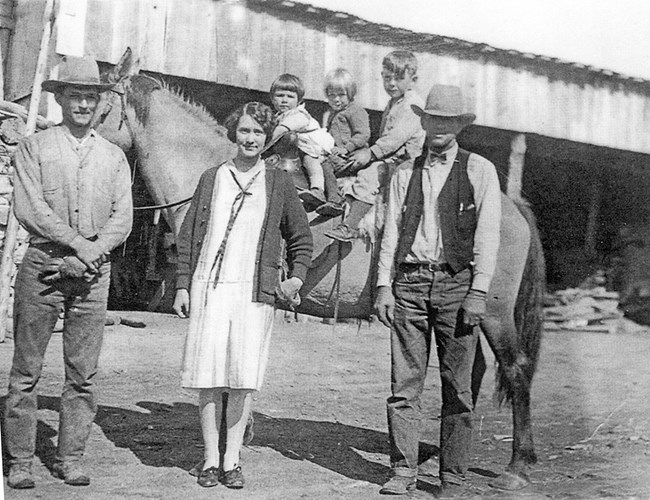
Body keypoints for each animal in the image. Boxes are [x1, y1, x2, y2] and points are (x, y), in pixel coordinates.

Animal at [96, 49, 540, 488]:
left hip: (493, 312)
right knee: (470, 374)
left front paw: (236, 441)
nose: (77, 134)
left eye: (99, 106)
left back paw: (517, 466)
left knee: (514, 370)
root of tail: (507, 203)